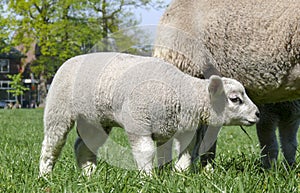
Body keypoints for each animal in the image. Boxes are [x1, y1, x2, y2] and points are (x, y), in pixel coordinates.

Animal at [38, 52, 258, 176]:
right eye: (235, 99)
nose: (257, 114)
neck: (181, 94)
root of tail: (70, 60)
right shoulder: (139, 124)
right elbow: (146, 152)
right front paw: (148, 178)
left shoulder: (178, 128)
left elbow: (181, 153)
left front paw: (177, 175)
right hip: (58, 111)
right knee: (52, 143)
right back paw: (45, 175)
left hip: (95, 120)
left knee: (83, 146)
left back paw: (89, 175)